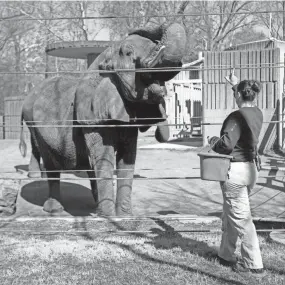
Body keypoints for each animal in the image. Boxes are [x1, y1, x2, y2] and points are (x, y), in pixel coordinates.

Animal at [18, 23, 186, 216]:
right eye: (128, 53)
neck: (105, 56)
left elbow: (128, 159)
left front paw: (124, 216)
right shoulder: (93, 118)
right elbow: (105, 157)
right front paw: (108, 217)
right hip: (37, 127)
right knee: (50, 162)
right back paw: (55, 209)